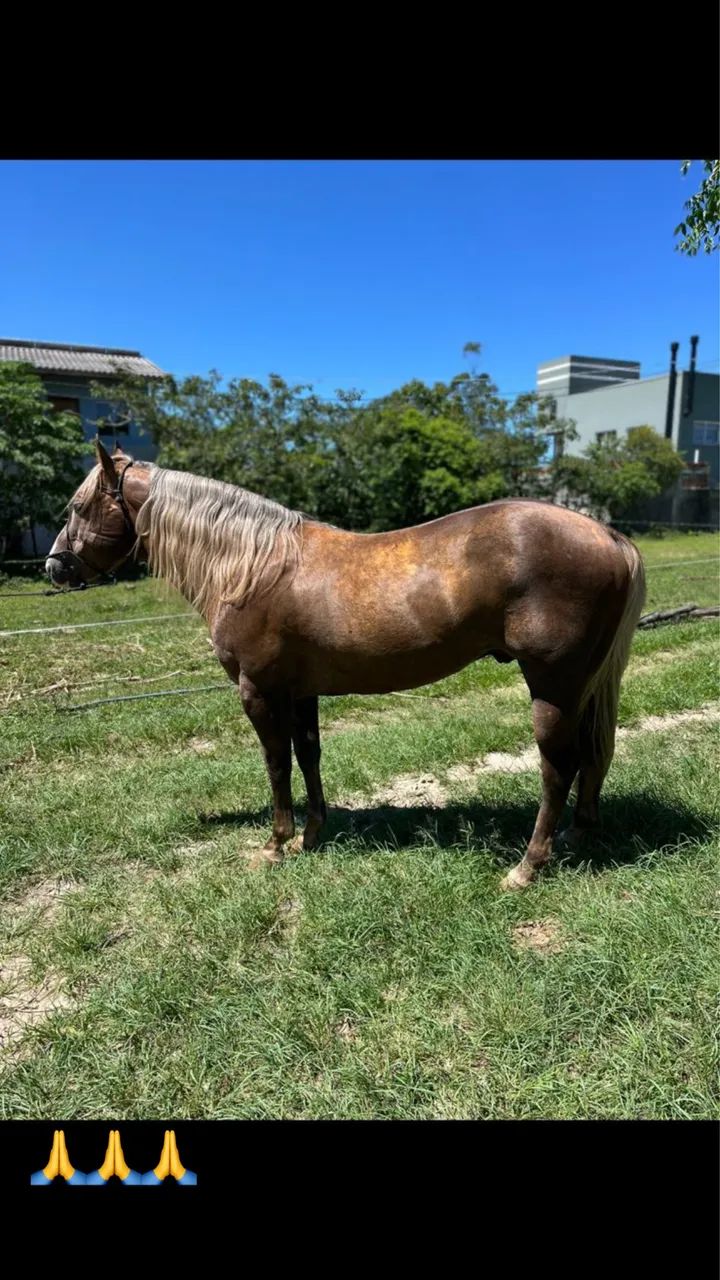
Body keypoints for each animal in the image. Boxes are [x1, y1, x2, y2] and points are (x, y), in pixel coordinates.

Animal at [46, 440, 646, 890]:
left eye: (76, 507)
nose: (55, 567)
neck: (251, 565)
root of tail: (609, 536)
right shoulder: (300, 692)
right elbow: (308, 755)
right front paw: (312, 835)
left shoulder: (258, 692)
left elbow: (276, 764)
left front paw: (276, 844)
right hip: (581, 687)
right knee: (590, 756)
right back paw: (576, 836)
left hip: (552, 686)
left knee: (557, 766)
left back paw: (527, 867)